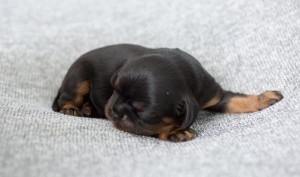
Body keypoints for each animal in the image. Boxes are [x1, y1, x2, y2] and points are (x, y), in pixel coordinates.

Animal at [52, 44, 284, 142]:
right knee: (67, 97)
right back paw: (74, 109)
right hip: (79, 77)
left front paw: (264, 98)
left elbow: (237, 100)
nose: (114, 110)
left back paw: (88, 109)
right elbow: (156, 129)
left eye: (142, 111)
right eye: (114, 90)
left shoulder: (214, 95)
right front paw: (176, 132)